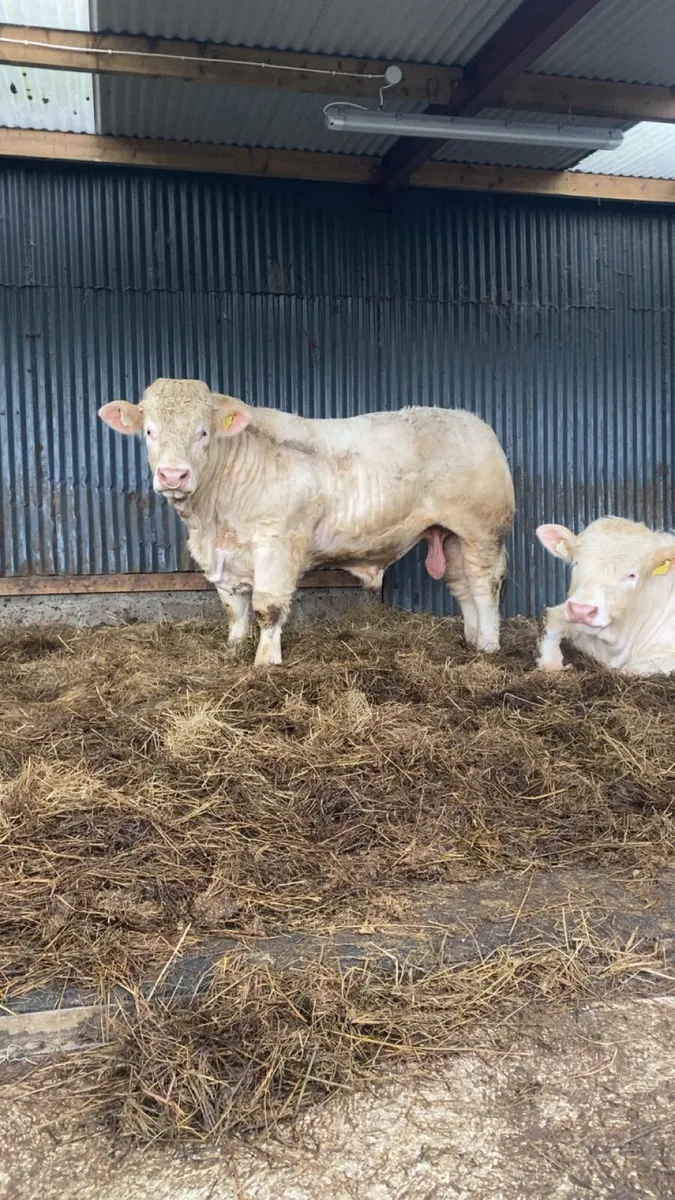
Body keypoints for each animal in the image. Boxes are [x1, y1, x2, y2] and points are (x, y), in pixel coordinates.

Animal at [99, 379, 515, 666]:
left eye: (203, 432)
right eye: (149, 431)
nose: (173, 475)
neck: (213, 519)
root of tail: (473, 421)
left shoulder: (276, 544)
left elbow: (267, 607)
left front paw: (266, 661)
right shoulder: (224, 557)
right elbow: (235, 608)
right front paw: (234, 648)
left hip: (482, 530)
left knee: (485, 585)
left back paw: (489, 645)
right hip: (450, 535)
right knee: (462, 586)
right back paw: (472, 638)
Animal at [536, 516, 675, 676]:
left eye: (632, 575)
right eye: (576, 562)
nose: (581, 610)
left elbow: (630, 669)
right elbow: (552, 619)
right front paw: (552, 663)